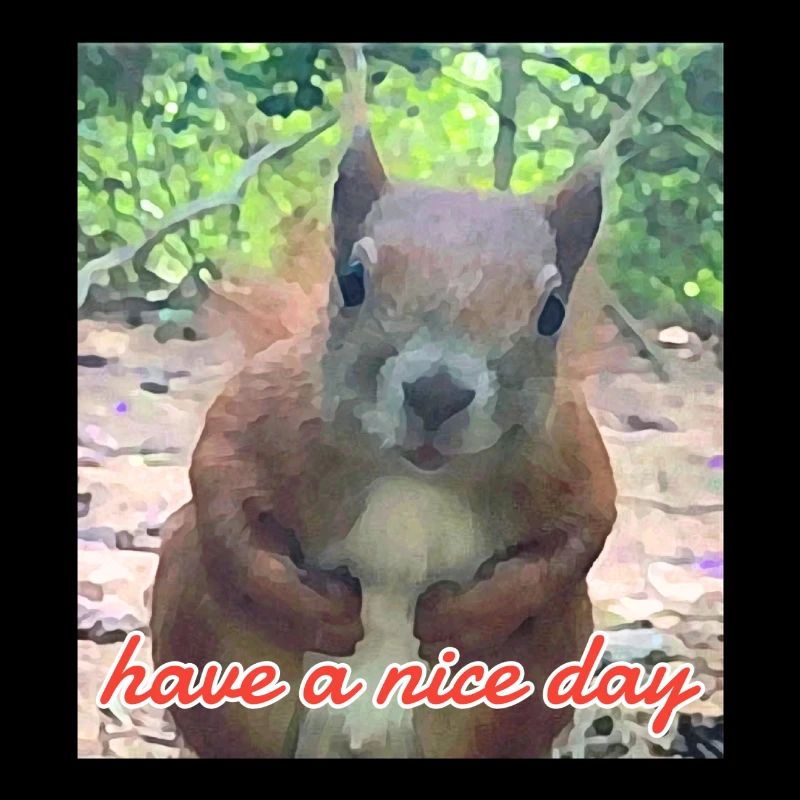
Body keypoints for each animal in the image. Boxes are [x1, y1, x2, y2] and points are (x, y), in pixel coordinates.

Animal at [151, 128, 618, 759]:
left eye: (553, 313)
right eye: (352, 281)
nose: (438, 395)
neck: (416, 475)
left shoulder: (570, 449)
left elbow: (584, 531)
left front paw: (458, 620)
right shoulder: (267, 404)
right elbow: (219, 488)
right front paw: (321, 611)